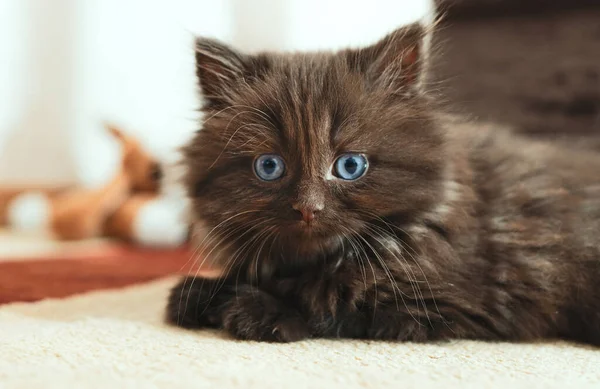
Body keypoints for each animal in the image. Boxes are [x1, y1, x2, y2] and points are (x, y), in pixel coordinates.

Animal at [165, 22, 600, 344]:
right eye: (269, 166)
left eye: (350, 165)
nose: (308, 208)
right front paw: (196, 294)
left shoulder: (443, 305)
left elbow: (330, 305)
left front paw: (254, 309)